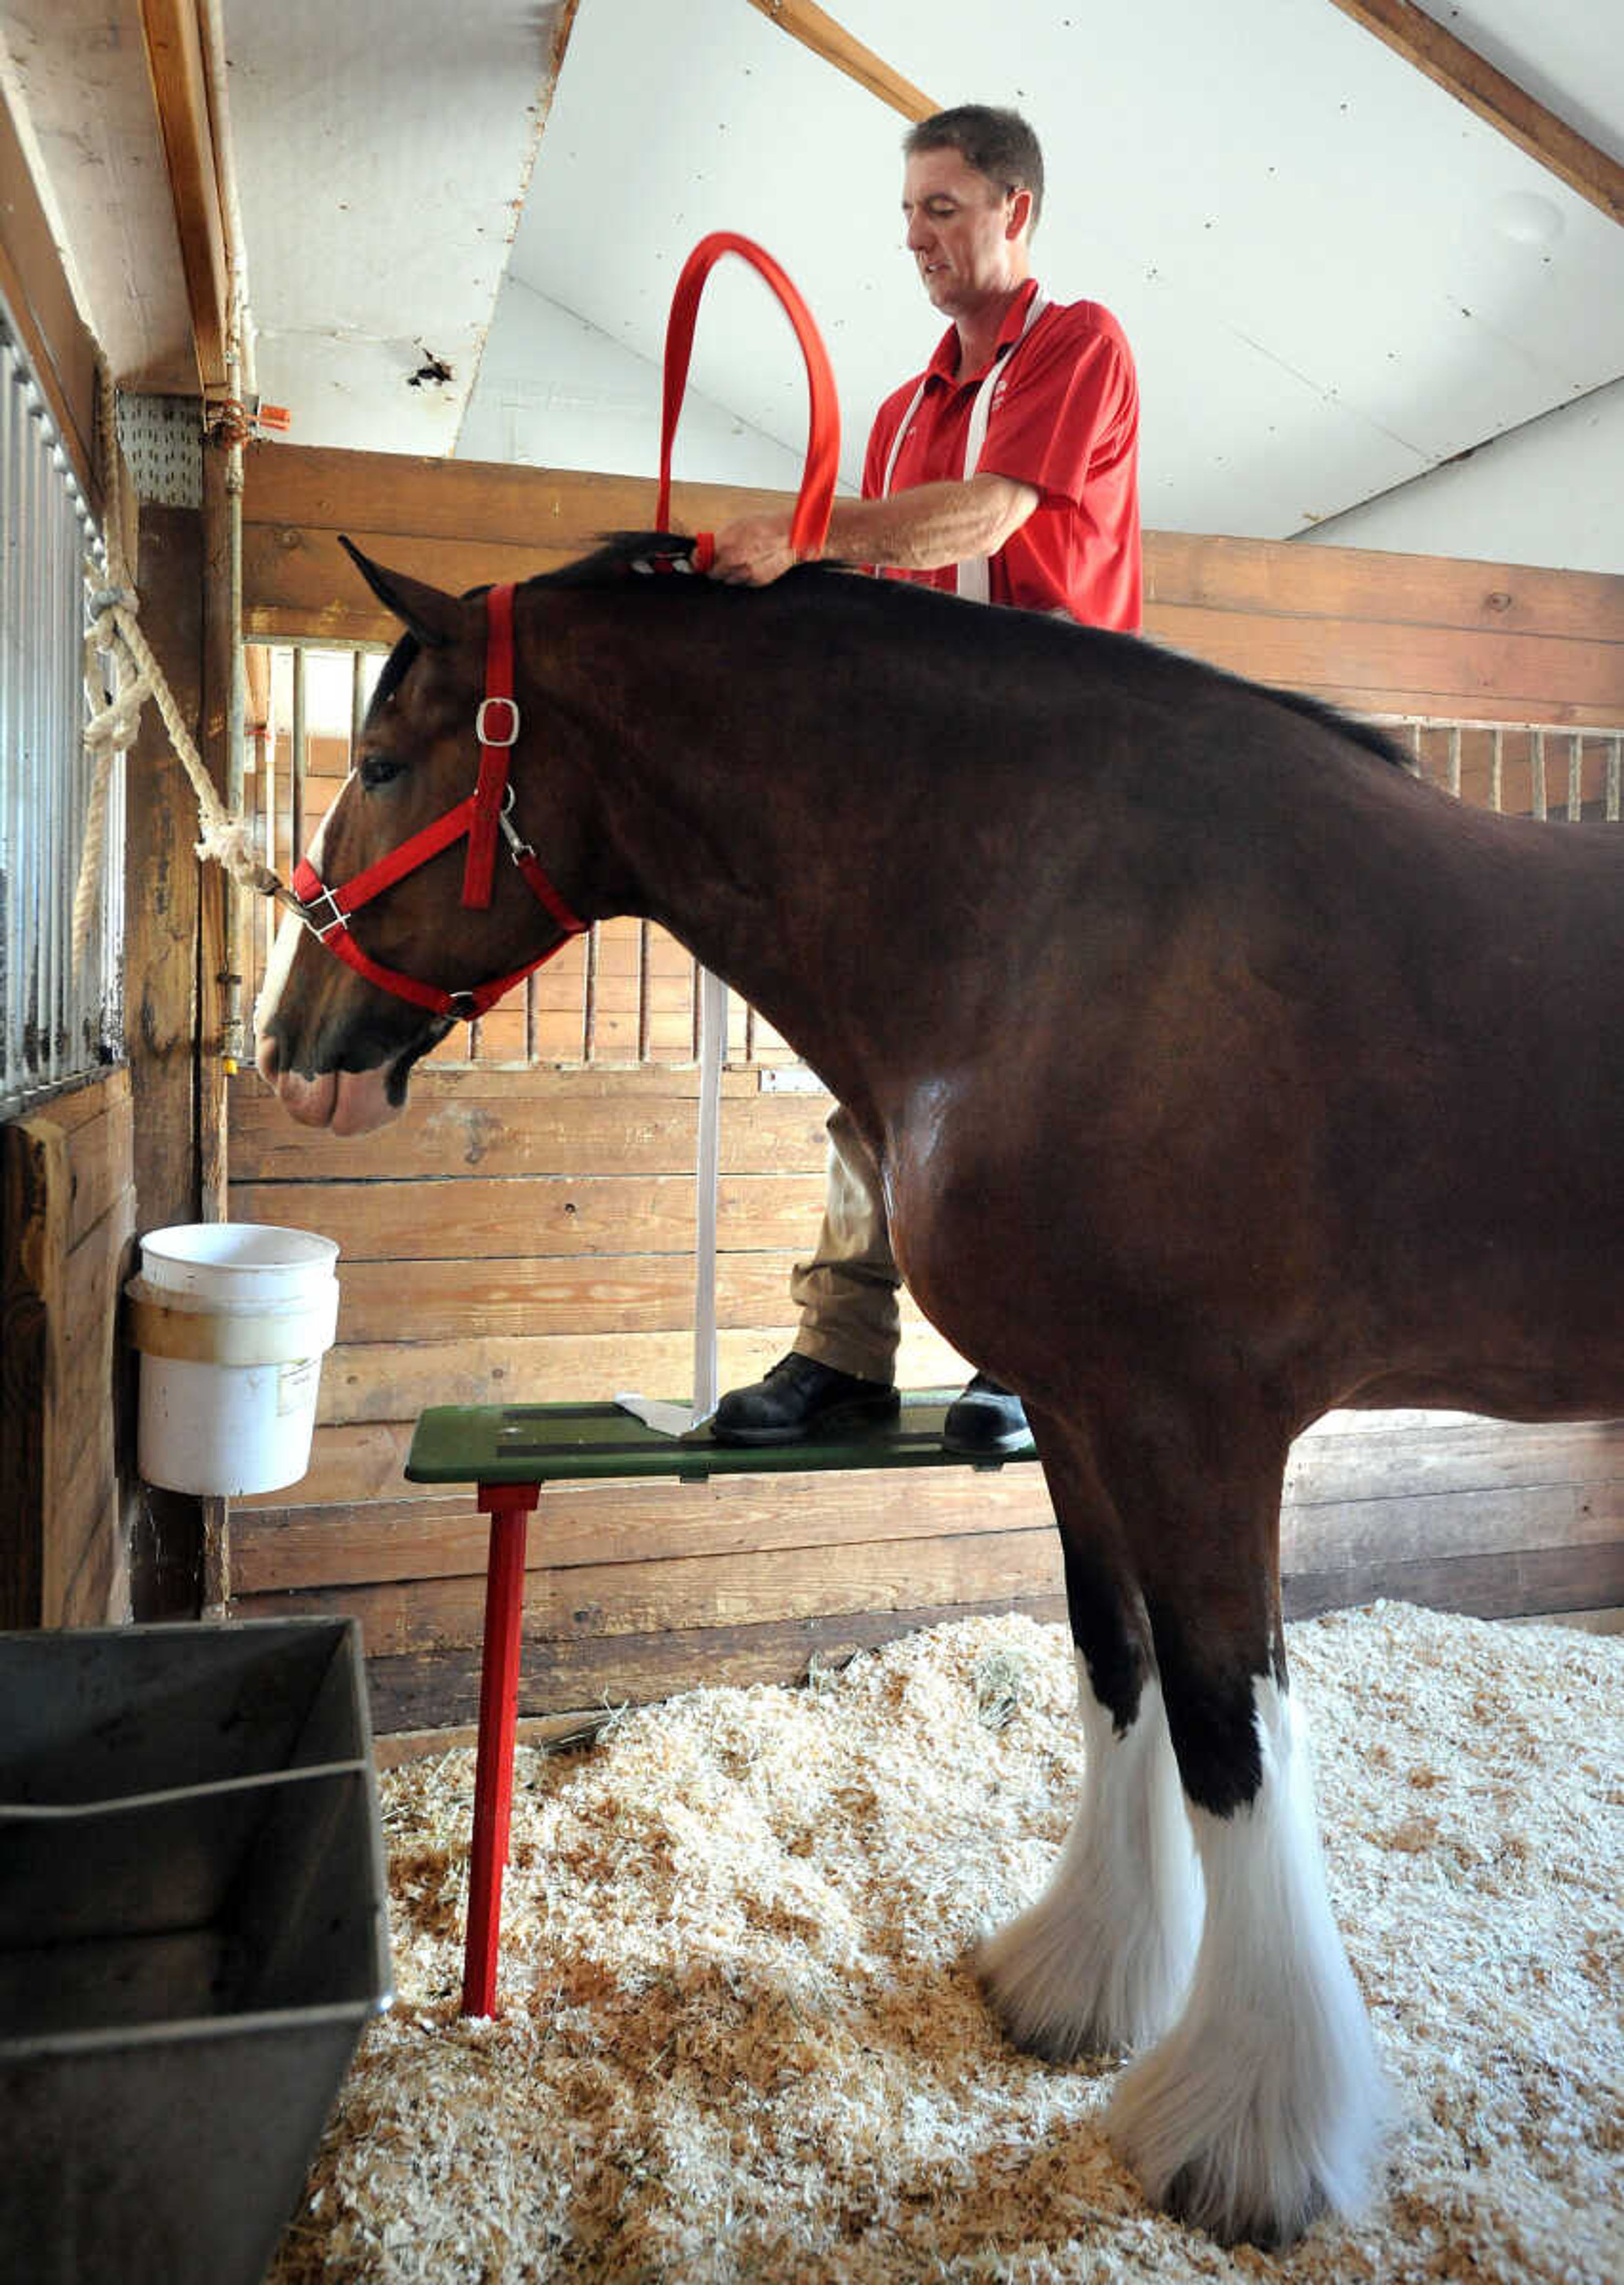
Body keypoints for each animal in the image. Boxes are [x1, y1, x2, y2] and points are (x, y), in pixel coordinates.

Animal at [253, 539, 1624, 2248]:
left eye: (379, 765)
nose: (287, 1048)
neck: (1068, 922)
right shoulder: (1085, 1417)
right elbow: (1119, 1673)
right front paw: (1084, 1980)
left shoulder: (1198, 1430)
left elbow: (1229, 1735)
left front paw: (1248, 2132)